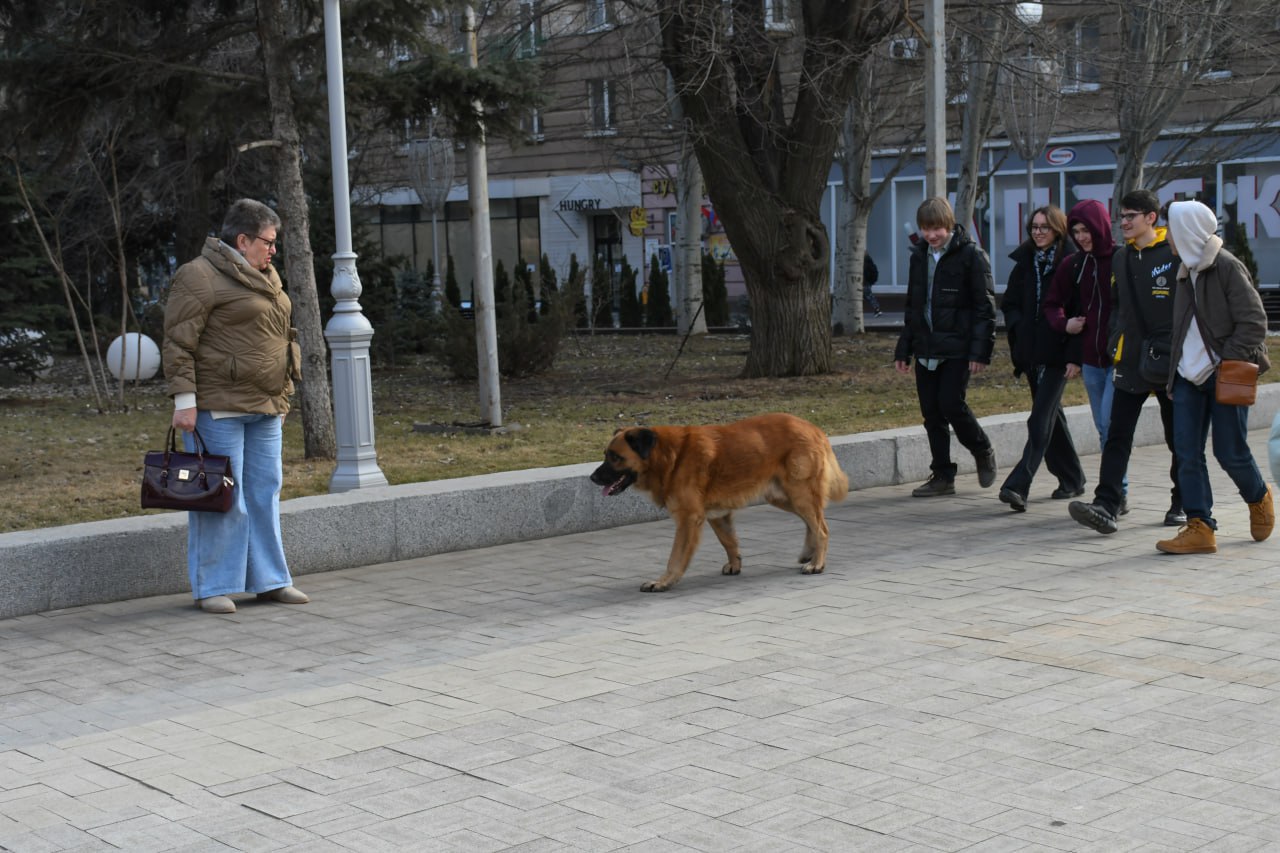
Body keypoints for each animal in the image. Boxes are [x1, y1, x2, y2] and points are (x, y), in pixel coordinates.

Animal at [588, 412, 849, 591]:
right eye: (605, 455)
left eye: (615, 457)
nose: (592, 478)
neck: (668, 457)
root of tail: (813, 428)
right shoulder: (717, 516)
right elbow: (729, 542)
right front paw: (735, 564)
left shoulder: (688, 520)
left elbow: (675, 557)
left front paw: (663, 582)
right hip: (783, 496)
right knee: (812, 522)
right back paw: (808, 553)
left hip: (799, 493)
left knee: (822, 528)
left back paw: (817, 563)